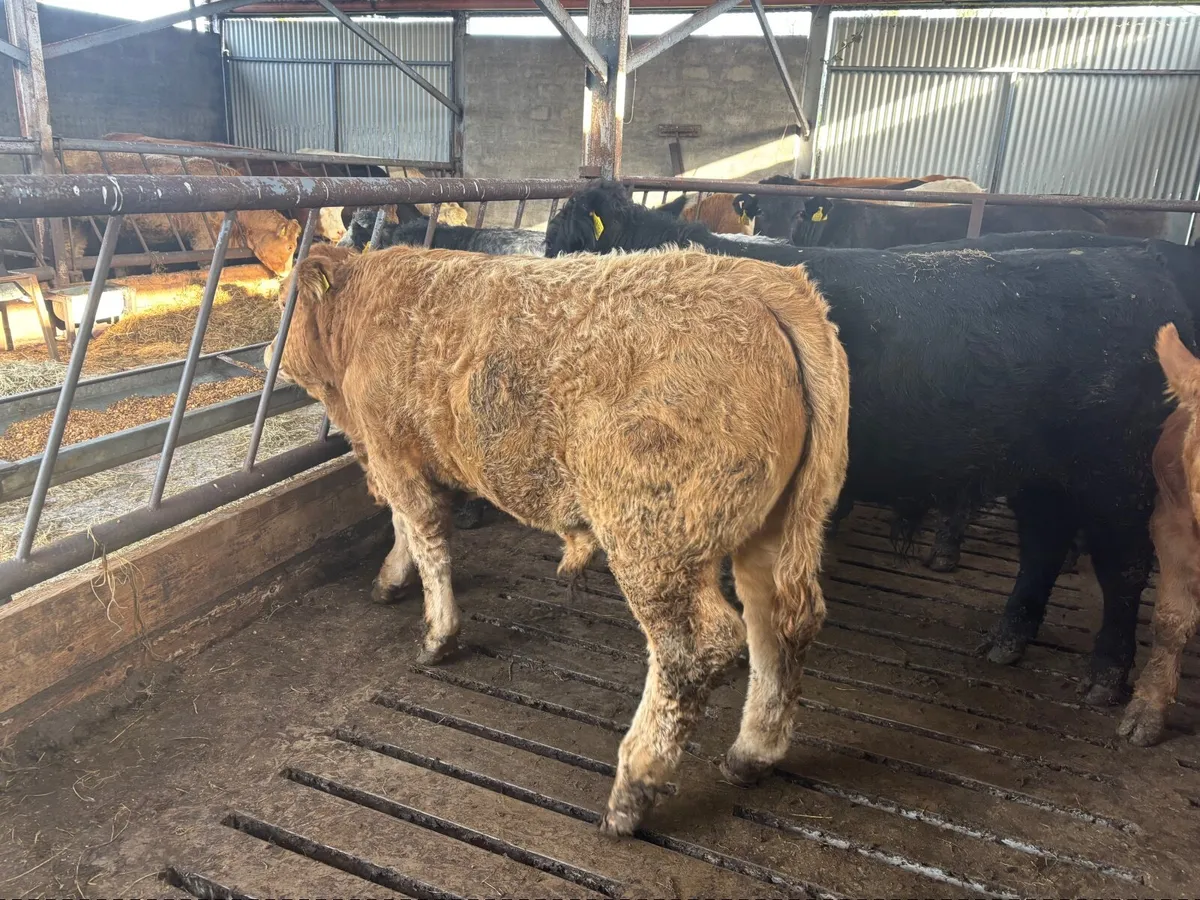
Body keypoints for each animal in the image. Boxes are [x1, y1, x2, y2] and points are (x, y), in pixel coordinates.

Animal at [266, 240, 851, 835]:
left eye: (288, 301)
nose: (268, 351)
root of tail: (758, 282)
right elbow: (403, 528)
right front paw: (392, 579)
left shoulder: (391, 450)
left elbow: (424, 532)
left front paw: (436, 635)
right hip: (778, 526)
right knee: (779, 623)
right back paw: (751, 754)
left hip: (652, 536)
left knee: (695, 647)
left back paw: (632, 790)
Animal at [545, 179, 1200, 705]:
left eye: (561, 248)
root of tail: (1139, 262)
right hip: (1041, 474)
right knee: (1043, 544)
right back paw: (1007, 640)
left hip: (1116, 475)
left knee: (1124, 567)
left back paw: (1107, 680)